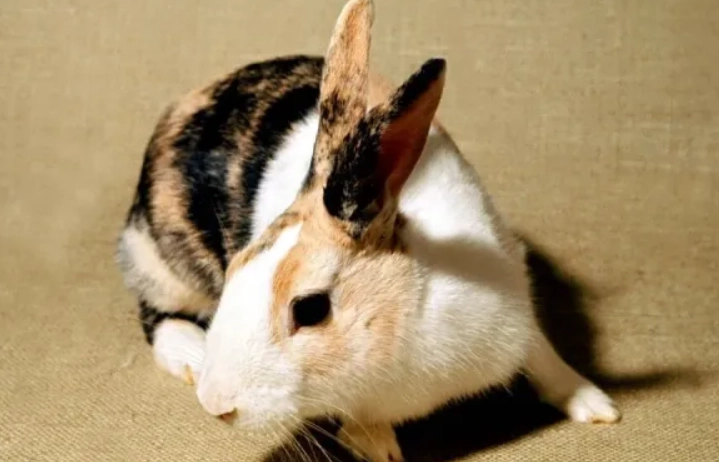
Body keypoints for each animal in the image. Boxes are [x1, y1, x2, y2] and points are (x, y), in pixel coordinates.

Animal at [116, 0, 621, 460]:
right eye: (235, 267)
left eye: (311, 308)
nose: (215, 405)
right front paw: (376, 446)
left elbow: (544, 357)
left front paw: (596, 405)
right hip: (162, 262)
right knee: (154, 314)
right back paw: (190, 353)